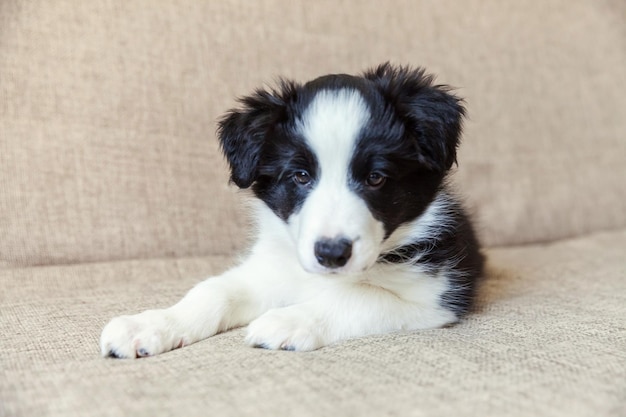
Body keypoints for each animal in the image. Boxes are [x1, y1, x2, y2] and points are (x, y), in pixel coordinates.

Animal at [101, 62, 482, 358]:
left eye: (376, 177)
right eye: (300, 176)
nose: (331, 253)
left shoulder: (433, 297)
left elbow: (360, 296)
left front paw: (286, 320)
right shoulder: (270, 270)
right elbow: (213, 291)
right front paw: (150, 324)